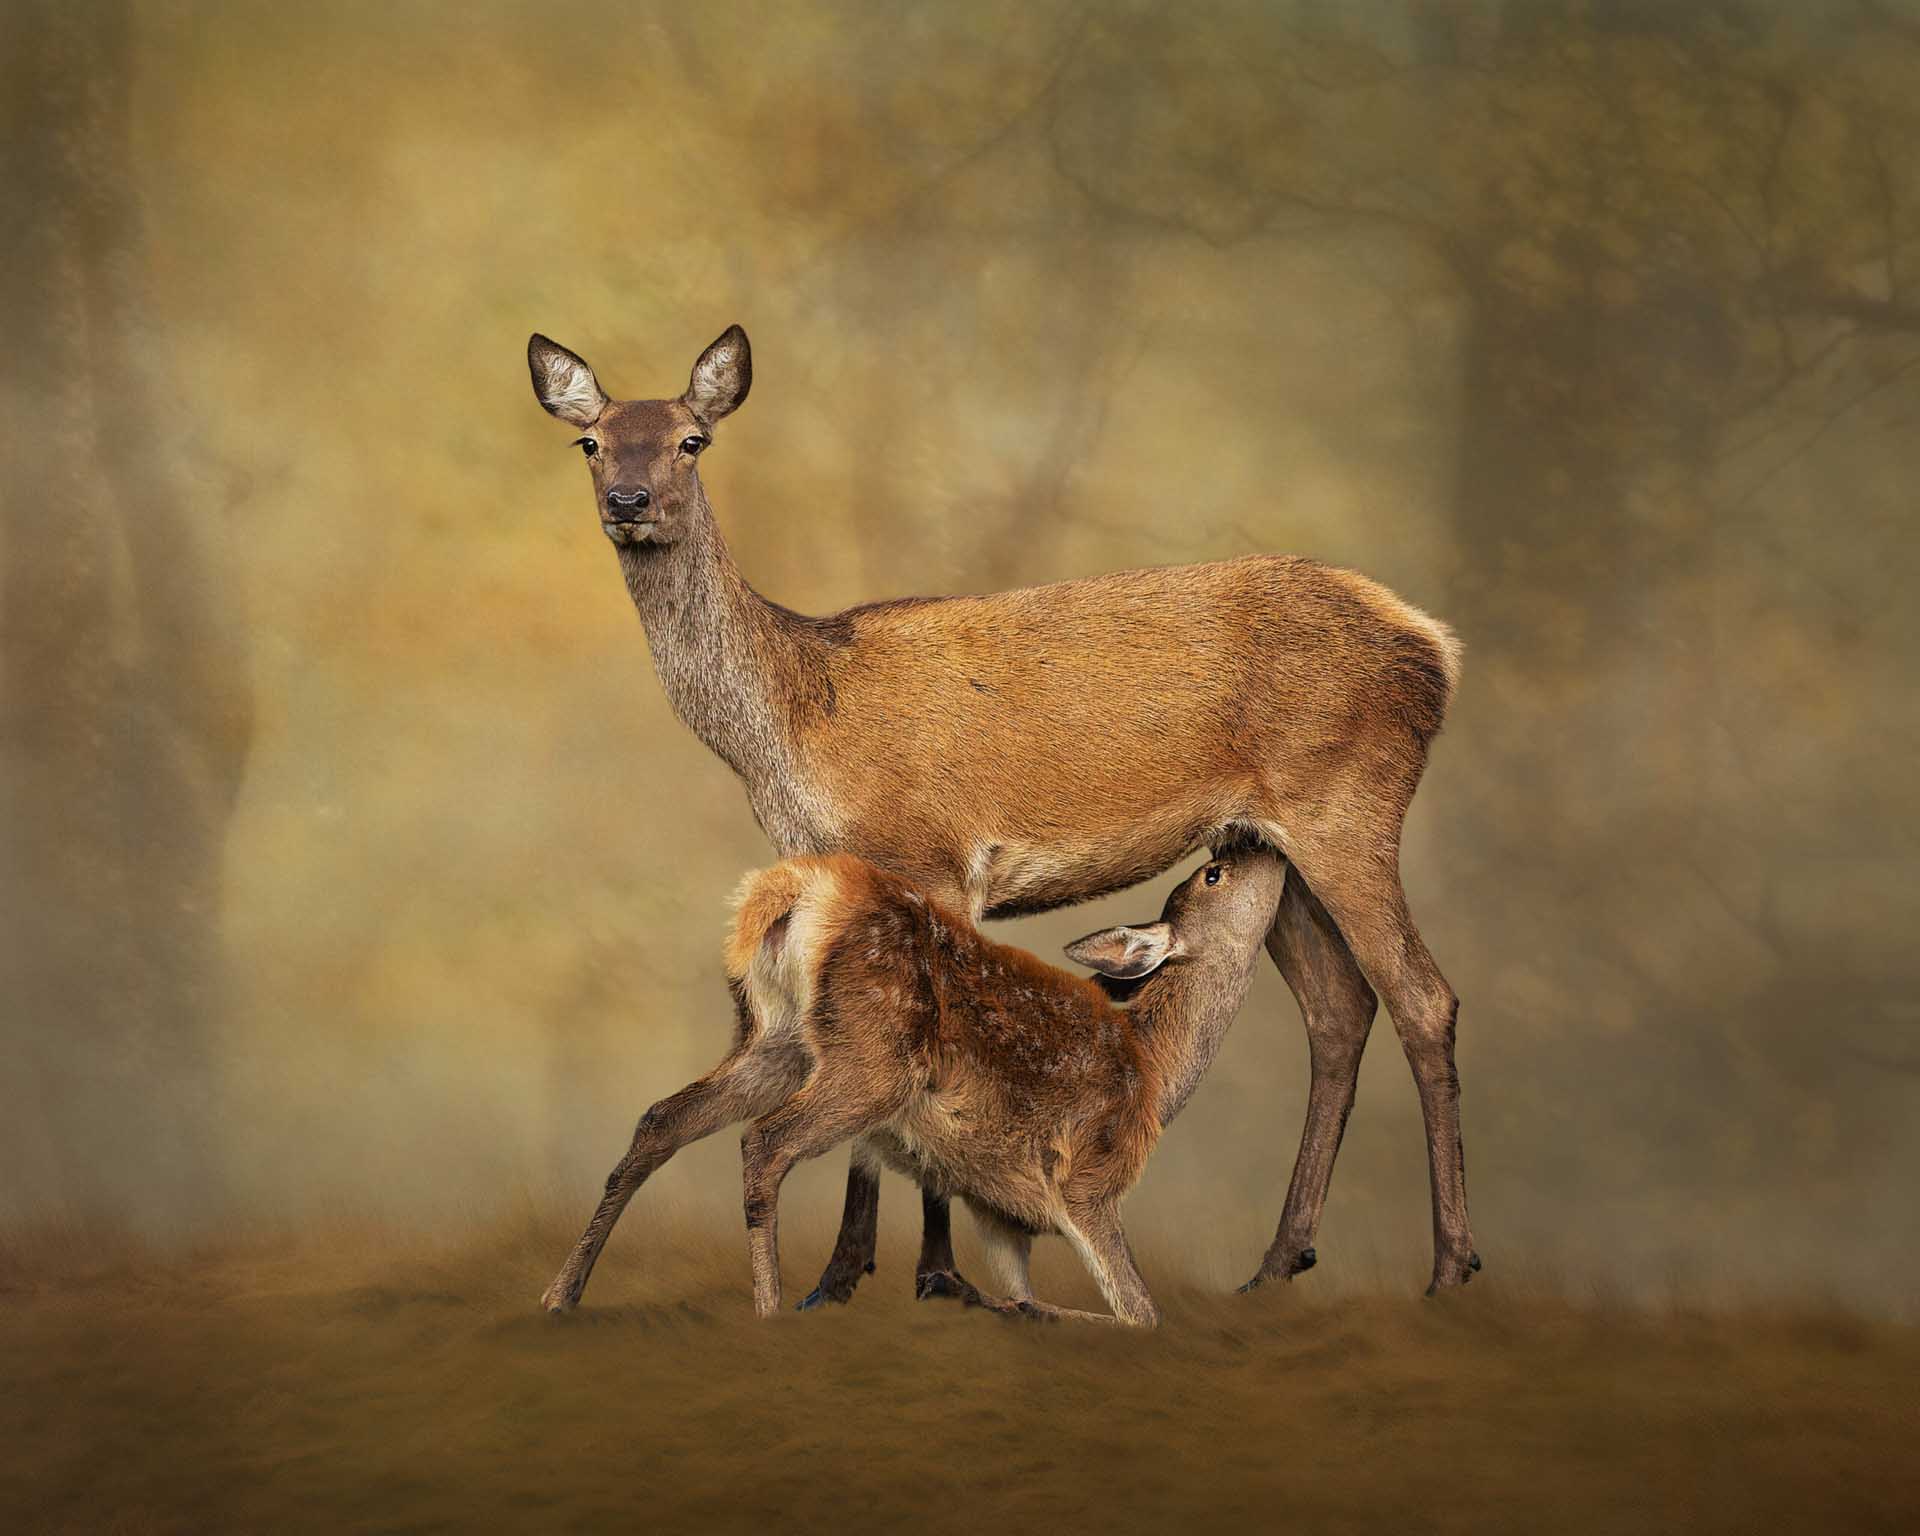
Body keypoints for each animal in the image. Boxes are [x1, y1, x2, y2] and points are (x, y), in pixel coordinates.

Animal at [527, 324, 1481, 1313]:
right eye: (591, 442)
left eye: (692, 440)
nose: (630, 502)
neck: (793, 729)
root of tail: (1435, 647)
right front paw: (851, 1273)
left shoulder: (938, 859)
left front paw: (919, 1271)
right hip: (1265, 843)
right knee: (1340, 1009)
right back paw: (1279, 1261)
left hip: (1347, 804)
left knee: (1422, 995)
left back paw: (1450, 1266)